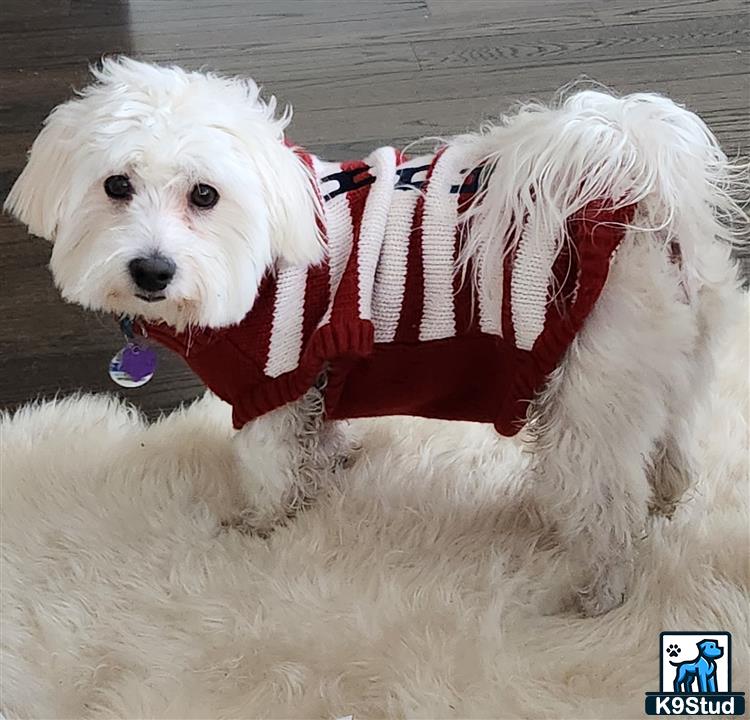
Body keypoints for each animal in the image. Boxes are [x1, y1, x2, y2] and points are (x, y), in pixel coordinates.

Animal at [4, 59, 748, 616]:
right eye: (115, 186)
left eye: (206, 195)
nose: (152, 270)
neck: (271, 237)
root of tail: (642, 202)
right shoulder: (310, 377)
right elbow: (318, 431)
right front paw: (330, 463)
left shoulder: (269, 380)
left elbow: (271, 465)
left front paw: (261, 526)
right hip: (668, 369)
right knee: (674, 447)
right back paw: (666, 499)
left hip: (590, 402)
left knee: (608, 509)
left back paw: (596, 594)